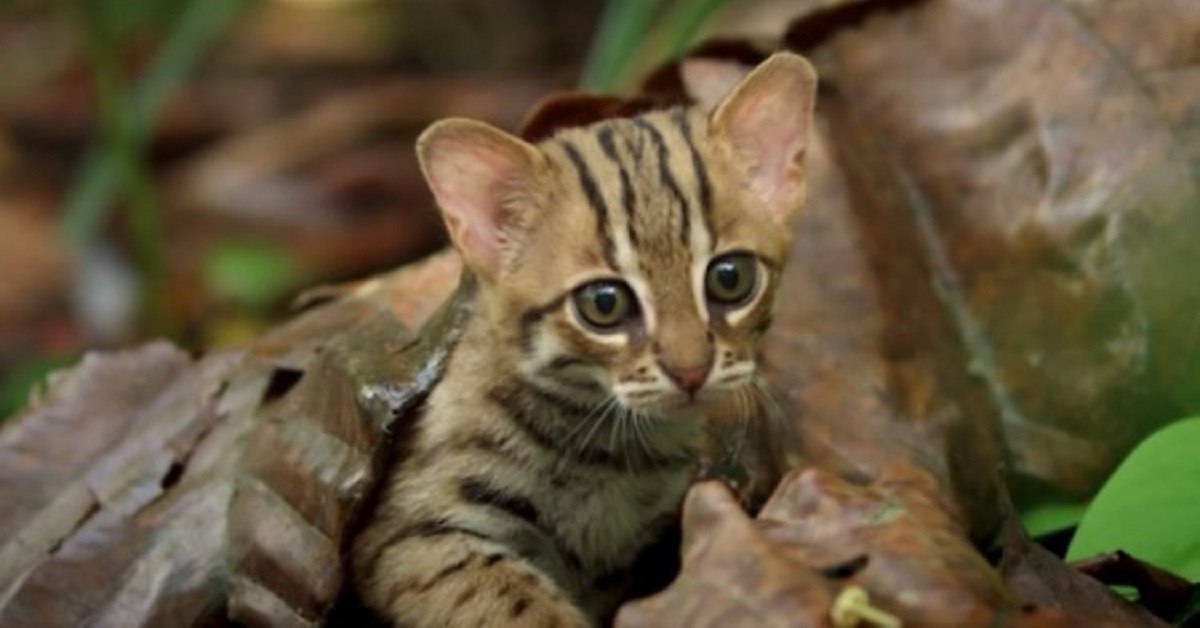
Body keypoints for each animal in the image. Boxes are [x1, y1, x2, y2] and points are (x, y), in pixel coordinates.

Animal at [350, 52, 816, 628]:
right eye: (604, 304)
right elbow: (515, 602)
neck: (612, 451)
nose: (690, 372)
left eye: (731, 278)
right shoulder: (406, 535)